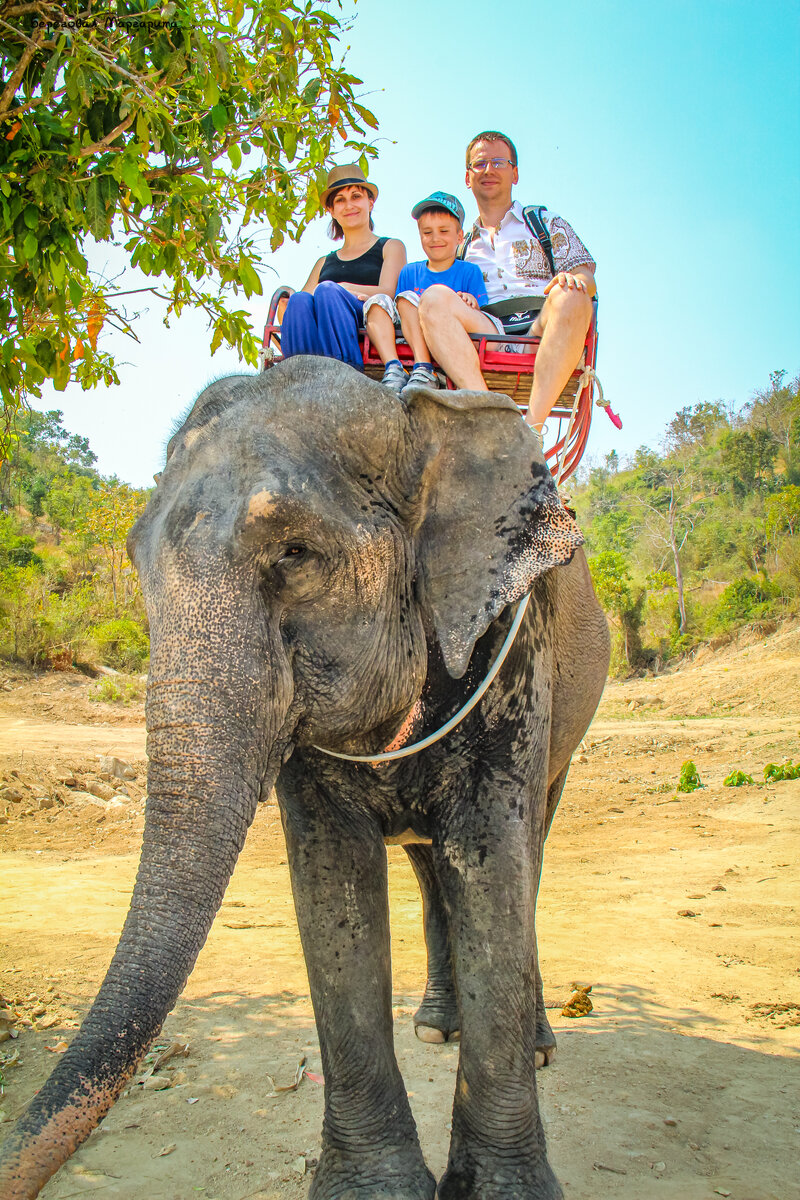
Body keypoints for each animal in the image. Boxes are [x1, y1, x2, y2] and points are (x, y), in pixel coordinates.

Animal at [0, 357, 606, 1200]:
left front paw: (502, 1192)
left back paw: (539, 1038)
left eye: (292, 553)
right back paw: (435, 1026)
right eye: (136, 560)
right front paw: (375, 1190)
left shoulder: (511, 652)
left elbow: (492, 871)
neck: (413, 416)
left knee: (529, 850)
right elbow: (331, 885)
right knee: (427, 864)